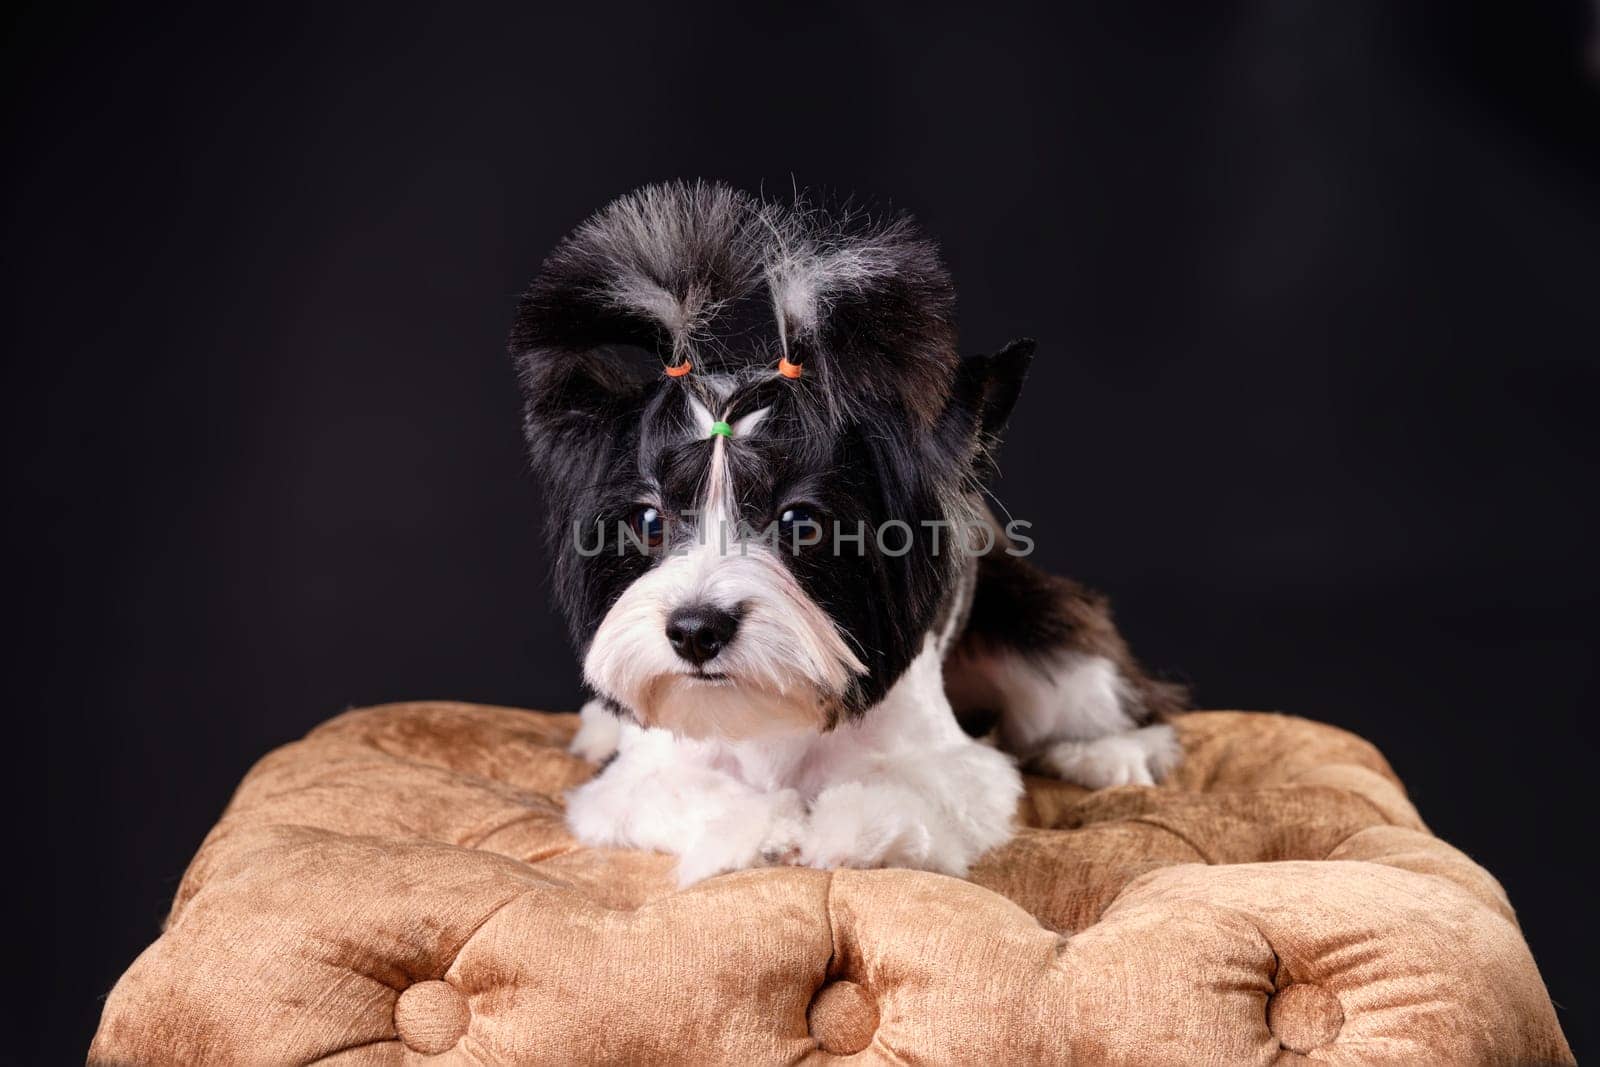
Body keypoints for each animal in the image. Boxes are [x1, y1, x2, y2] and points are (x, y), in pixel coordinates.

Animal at [512, 181, 1190, 883]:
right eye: (648, 520)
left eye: (800, 521)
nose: (696, 631)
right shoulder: (634, 782)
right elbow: (672, 791)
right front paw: (760, 827)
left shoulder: (957, 767)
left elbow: (912, 794)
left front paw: (844, 828)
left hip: (1034, 622)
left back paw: (1113, 751)